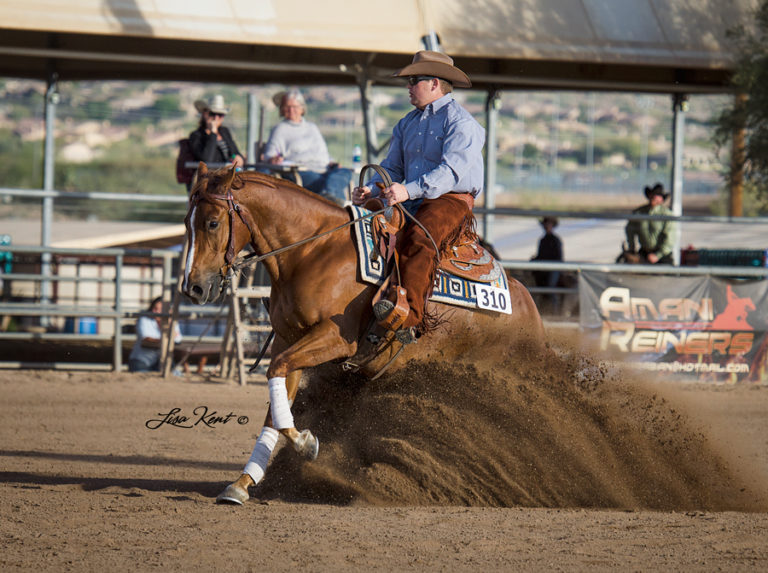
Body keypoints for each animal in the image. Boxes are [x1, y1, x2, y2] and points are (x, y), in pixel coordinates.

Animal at [182, 163, 545, 504]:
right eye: (187, 221)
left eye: (212, 222)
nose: (194, 287)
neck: (313, 252)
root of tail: (528, 306)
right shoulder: (289, 341)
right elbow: (276, 403)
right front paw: (242, 484)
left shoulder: (334, 338)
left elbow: (278, 381)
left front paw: (305, 442)